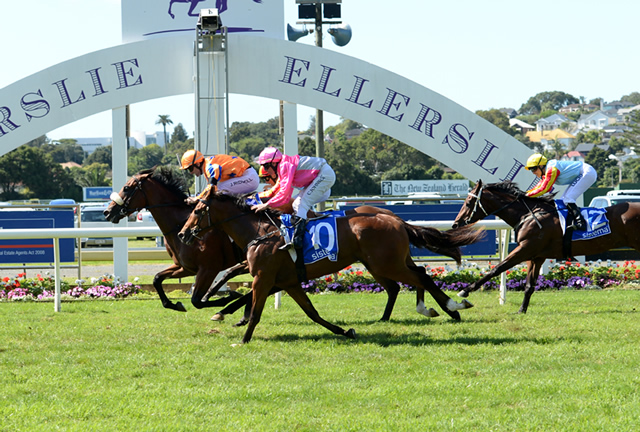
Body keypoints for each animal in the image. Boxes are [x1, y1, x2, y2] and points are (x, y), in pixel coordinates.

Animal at [104, 166, 246, 312]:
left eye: (126, 187)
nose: (107, 212)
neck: (180, 226)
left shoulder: (208, 269)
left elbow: (196, 301)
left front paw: (229, 297)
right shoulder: (185, 268)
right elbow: (157, 278)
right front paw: (175, 304)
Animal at [177, 190, 484, 343]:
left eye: (197, 211)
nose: (182, 234)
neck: (260, 231)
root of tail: (395, 219)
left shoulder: (263, 278)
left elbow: (255, 311)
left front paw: (242, 338)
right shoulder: (288, 281)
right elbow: (312, 313)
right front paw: (345, 331)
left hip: (387, 263)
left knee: (420, 277)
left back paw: (453, 306)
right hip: (384, 263)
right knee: (411, 280)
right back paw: (434, 308)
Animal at [451, 179, 640, 313]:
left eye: (468, 202)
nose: (455, 224)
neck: (527, 215)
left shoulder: (525, 249)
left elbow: (497, 269)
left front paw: (465, 291)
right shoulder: (536, 256)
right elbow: (529, 285)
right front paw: (522, 310)